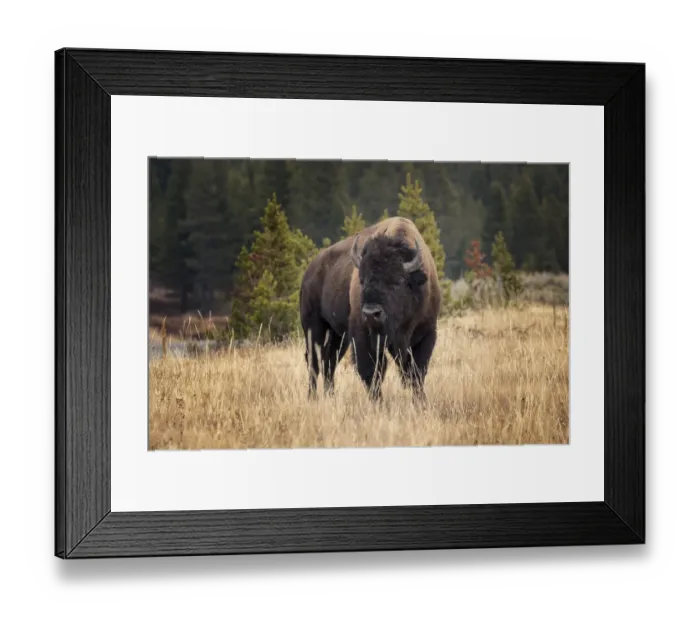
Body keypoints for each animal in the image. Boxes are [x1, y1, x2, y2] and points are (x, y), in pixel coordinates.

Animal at [299, 216, 442, 402]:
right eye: (362, 280)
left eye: (398, 281)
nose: (371, 313)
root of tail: (309, 271)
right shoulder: (363, 336)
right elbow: (372, 371)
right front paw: (378, 403)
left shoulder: (426, 333)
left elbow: (417, 372)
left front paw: (420, 402)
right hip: (314, 327)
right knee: (314, 362)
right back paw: (312, 397)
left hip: (339, 336)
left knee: (329, 361)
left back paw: (331, 396)